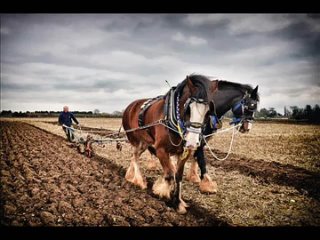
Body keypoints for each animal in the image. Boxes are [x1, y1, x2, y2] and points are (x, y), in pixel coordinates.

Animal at [122, 75, 218, 214]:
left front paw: (177, 203)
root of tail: (130, 106)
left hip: (145, 143)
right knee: (135, 157)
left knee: (134, 157)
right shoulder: (161, 150)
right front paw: (162, 193)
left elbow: (178, 176)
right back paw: (138, 180)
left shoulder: (184, 153)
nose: (192, 142)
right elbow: (168, 174)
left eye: (208, 111)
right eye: (188, 109)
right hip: (137, 141)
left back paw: (130, 176)